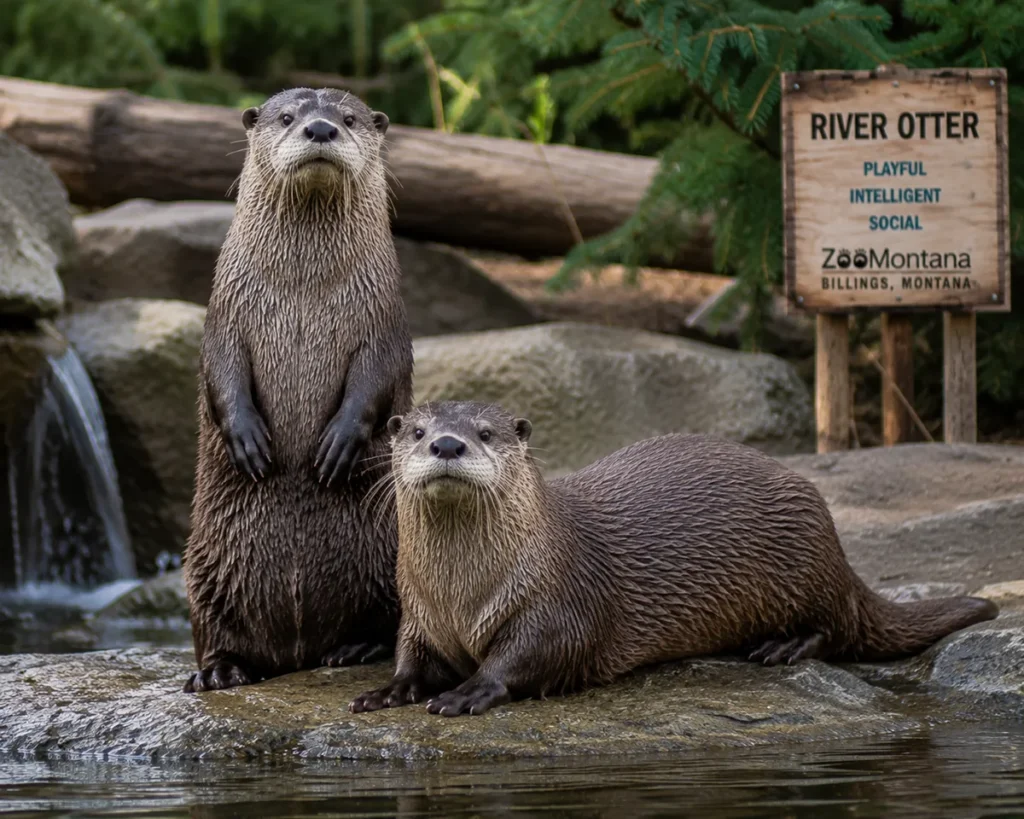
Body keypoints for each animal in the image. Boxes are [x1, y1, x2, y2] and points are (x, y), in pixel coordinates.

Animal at [182, 87, 413, 693]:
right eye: (287, 116)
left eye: (349, 118)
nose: (320, 128)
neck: (304, 288)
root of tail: (296, 649)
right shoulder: (224, 313)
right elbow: (221, 367)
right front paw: (248, 440)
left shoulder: (385, 318)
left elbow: (376, 377)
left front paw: (338, 443)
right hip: (203, 565)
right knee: (214, 628)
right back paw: (221, 671)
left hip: (390, 551)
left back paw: (355, 647)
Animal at [349, 401, 999, 716]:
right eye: (416, 431)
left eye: (485, 432)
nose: (447, 443)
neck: (463, 596)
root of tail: (840, 554)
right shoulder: (418, 611)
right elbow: (410, 653)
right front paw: (388, 691)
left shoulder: (562, 600)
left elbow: (531, 654)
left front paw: (467, 691)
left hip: (805, 555)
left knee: (834, 625)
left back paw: (782, 647)